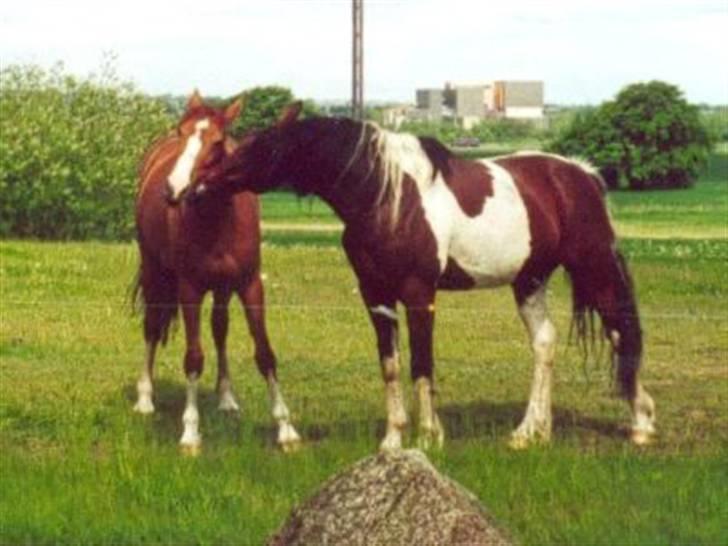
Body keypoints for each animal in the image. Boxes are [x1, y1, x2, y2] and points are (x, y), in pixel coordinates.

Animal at [133, 92, 298, 450]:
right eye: (181, 132)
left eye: (219, 142)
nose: (174, 188)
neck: (219, 219)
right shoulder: (189, 289)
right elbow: (194, 358)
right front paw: (190, 432)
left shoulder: (250, 285)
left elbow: (265, 353)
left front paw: (286, 428)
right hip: (153, 269)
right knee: (152, 326)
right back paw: (145, 398)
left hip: (223, 288)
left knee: (220, 328)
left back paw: (226, 397)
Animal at [191, 104, 656, 448]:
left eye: (261, 146)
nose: (201, 184)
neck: (386, 197)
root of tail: (582, 175)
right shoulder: (376, 295)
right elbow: (391, 366)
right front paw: (393, 439)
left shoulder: (419, 293)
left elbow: (422, 363)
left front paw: (430, 436)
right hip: (530, 280)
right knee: (545, 343)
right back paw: (530, 432)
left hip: (594, 268)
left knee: (621, 334)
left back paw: (641, 424)